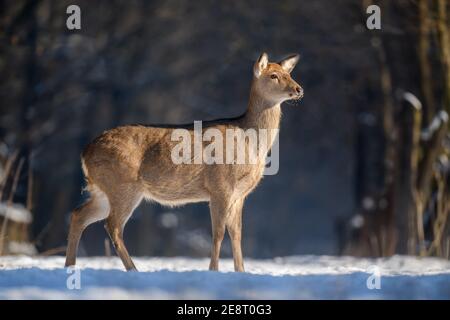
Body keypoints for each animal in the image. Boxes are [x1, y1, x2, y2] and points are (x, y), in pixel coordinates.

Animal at [65, 53, 304, 272]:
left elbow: (236, 234)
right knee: (113, 226)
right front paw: (213, 271)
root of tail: (85, 152)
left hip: (103, 190)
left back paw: (70, 266)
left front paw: (241, 272)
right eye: (273, 75)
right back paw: (133, 270)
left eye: (289, 73)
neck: (251, 143)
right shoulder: (220, 186)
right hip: (123, 185)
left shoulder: (240, 194)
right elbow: (218, 233)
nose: (299, 89)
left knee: (78, 215)